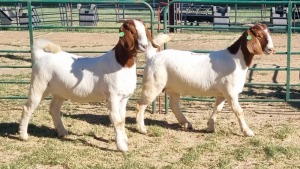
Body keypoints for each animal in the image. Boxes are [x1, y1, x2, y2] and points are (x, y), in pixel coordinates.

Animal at [18, 19, 159, 152]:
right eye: (132, 31)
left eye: (145, 29)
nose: (145, 46)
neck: (120, 63)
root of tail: (41, 56)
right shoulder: (112, 97)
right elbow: (117, 120)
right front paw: (122, 147)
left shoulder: (124, 98)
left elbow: (122, 119)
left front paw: (124, 140)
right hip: (39, 85)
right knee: (27, 108)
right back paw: (23, 135)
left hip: (59, 92)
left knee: (54, 108)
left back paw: (62, 132)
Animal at [137, 23, 276, 137]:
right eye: (259, 35)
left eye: (269, 32)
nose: (271, 49)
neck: (236, 59)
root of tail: (152, 56)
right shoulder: (231, 92)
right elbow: (238, 111)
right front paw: (248, 131)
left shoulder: (222, 93)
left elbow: (217, 108)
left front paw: (210, 126)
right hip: (153, 85)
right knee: (141, 105)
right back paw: (142, 129)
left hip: (173, 88)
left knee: (174, 105)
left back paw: (186, 123)